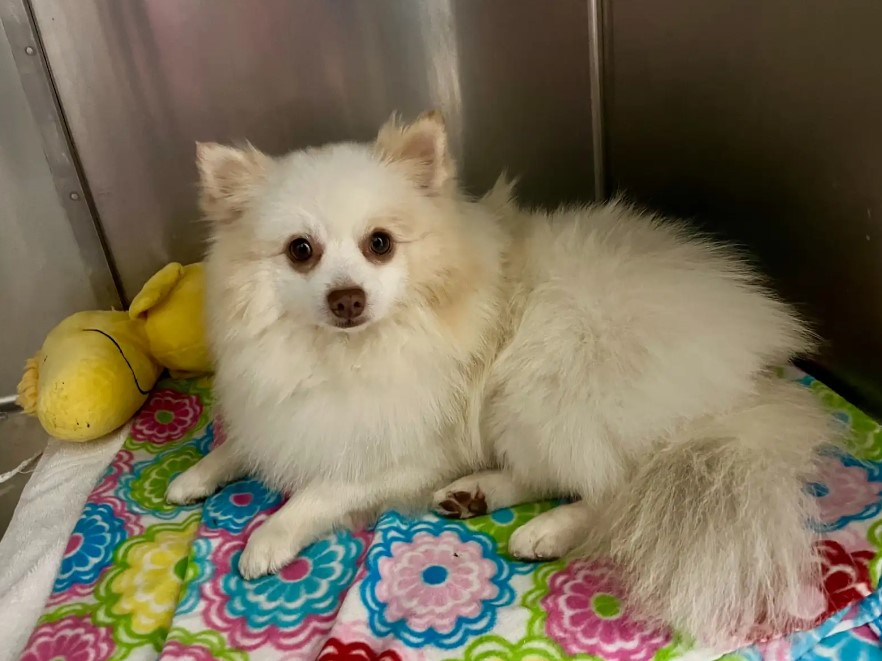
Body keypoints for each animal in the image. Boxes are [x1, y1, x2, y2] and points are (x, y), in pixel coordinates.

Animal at [167, 111, 832, 640]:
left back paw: (548, 529)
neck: (345, 355)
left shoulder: (414, 449)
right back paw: (476, 493)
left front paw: (270, 536)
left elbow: (324, 488)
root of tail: (751, 380)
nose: (347, 298)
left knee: (618, 489)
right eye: (300, 251)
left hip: (541, 380)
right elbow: (246, 442)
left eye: (380, 243)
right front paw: (198, 474)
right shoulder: (283, 407)